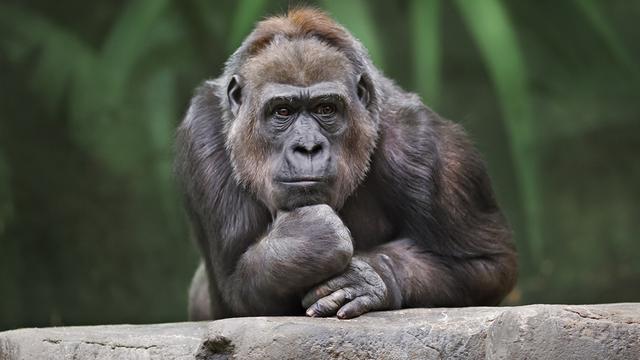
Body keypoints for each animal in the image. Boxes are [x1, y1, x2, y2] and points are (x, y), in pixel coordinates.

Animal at [175, 7, 516, 320]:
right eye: (282, 112)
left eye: (326, 109)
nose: (308, 148)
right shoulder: (201, 130)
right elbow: (235, 290)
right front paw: (306, 239)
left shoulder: (426, 145)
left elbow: (486, 264)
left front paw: (373, 277)